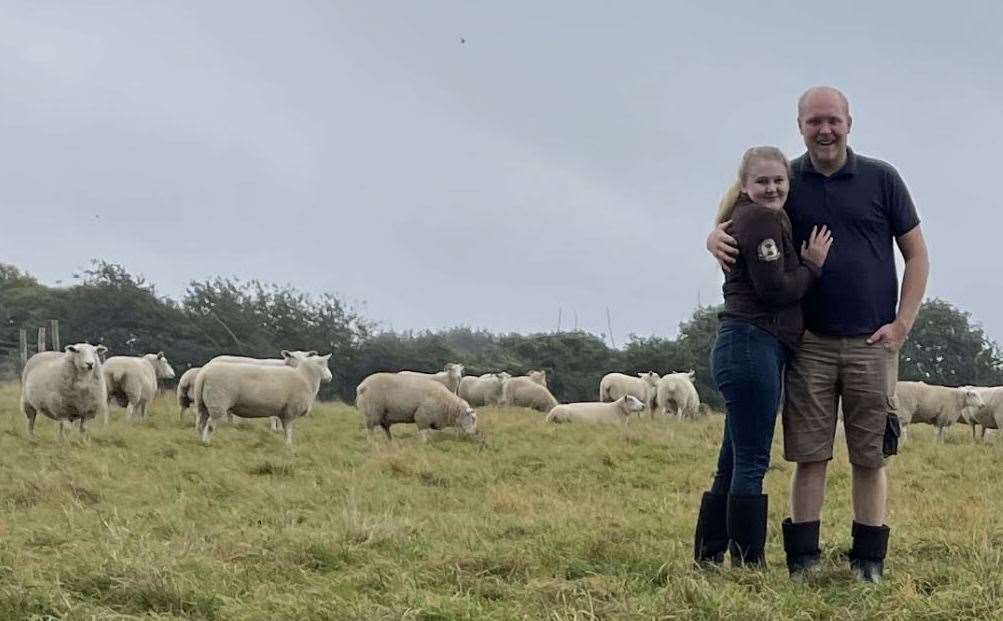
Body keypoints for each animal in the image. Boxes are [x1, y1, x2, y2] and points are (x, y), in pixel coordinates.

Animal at [194, 353, 332, 445]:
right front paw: (289, 445)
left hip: (202, 404)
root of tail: (204, 373)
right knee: (210, 425)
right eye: (323, 364)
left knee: (201, 423)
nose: (330, 377)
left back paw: (200, 440)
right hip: (217, 403)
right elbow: (288, 430)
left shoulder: (283, 411)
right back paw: (206, 442)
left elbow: (283, 429)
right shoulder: (290, 411)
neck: (305, 377)